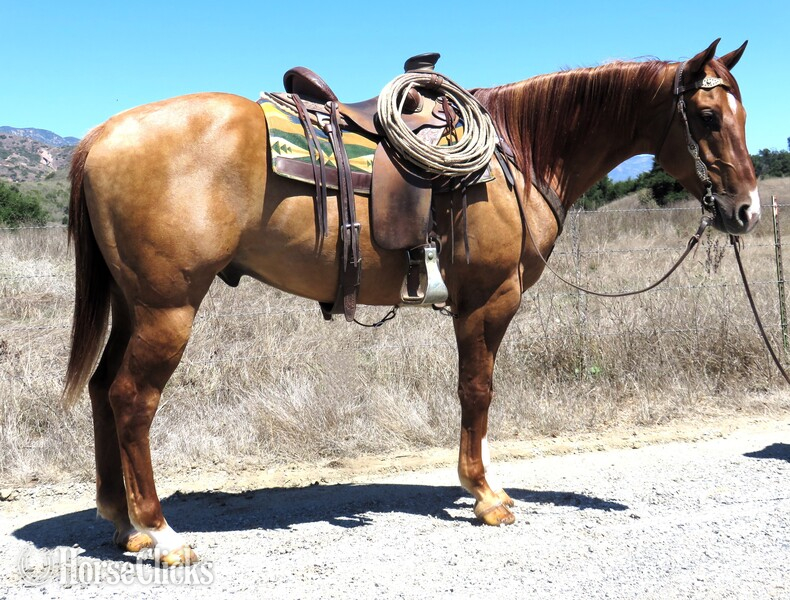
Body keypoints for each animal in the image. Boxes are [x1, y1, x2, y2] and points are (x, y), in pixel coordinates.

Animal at [63, 39, 759, 565]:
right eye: (707, 117)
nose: (746, 211)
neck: (518, 155)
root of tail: (101, 135)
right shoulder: (490, 298)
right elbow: (477, 390)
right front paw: (486, 495)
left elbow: (475, 393)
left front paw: (482, 486)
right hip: (168, 309)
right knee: (131, 399)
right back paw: (160, 534)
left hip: (133, 305)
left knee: (100, 389)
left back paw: (123, 524)